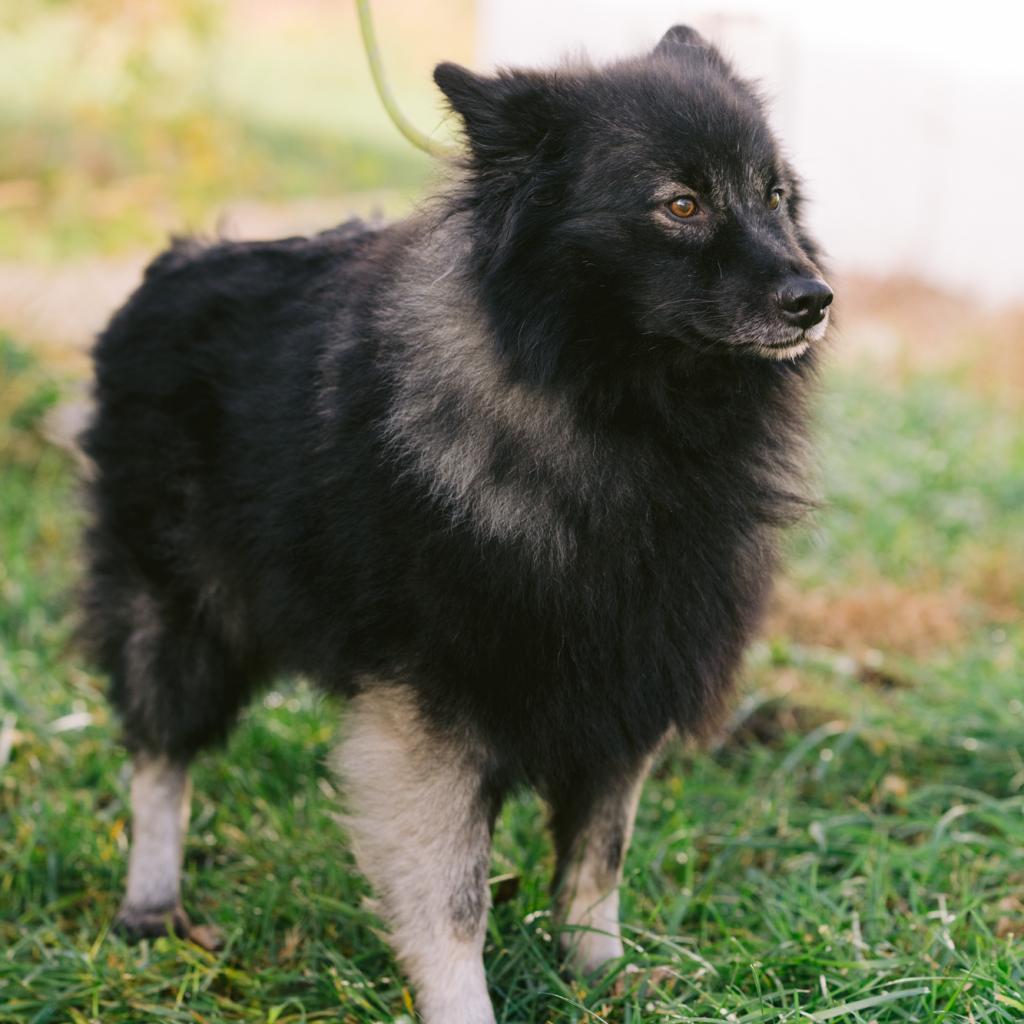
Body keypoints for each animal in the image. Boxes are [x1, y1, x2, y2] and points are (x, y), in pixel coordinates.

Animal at [79, 24, 831, 1024]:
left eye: (775, 195)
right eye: (680, 204)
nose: (813, 297)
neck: (614, 416)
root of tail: (169, 265)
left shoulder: (627, 678)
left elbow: (597, 859)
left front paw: (598, 974)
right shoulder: (431, 718)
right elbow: (453, 901)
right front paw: (467, 1004)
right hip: (179, 613)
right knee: (159, 759)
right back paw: (152, 908)